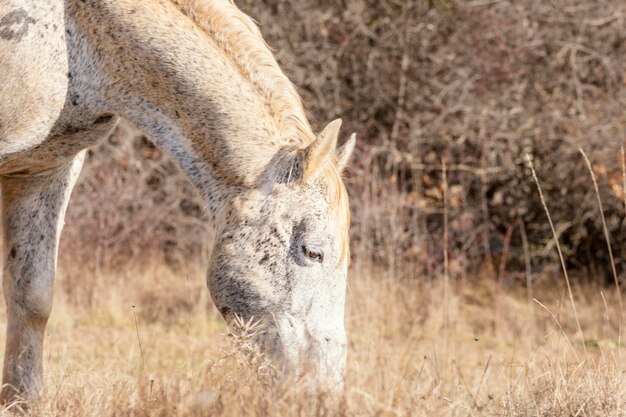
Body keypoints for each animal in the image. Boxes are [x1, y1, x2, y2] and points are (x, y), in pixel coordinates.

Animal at [0, 0, 354, 402]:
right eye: (313, 252)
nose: (323, 390)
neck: (72, 31)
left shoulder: (46, 169)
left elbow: (32, 298)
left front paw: (22, 402)